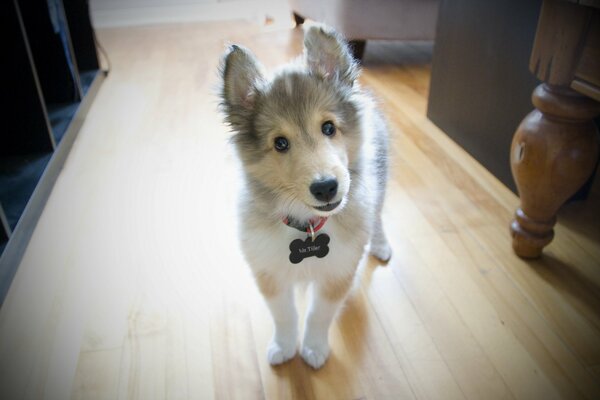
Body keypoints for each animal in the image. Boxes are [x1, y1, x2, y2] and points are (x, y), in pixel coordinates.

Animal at [218, 25, 392, 368]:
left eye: (328, 127)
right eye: (280, 143)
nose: (326, 187)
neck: (308, 225)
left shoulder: (338, 272)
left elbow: (318, 315)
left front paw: (313, 349)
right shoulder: (268, 272)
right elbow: (285, 315)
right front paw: (284, 347)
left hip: (379, 180)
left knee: (377, 216)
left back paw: (380, 245)